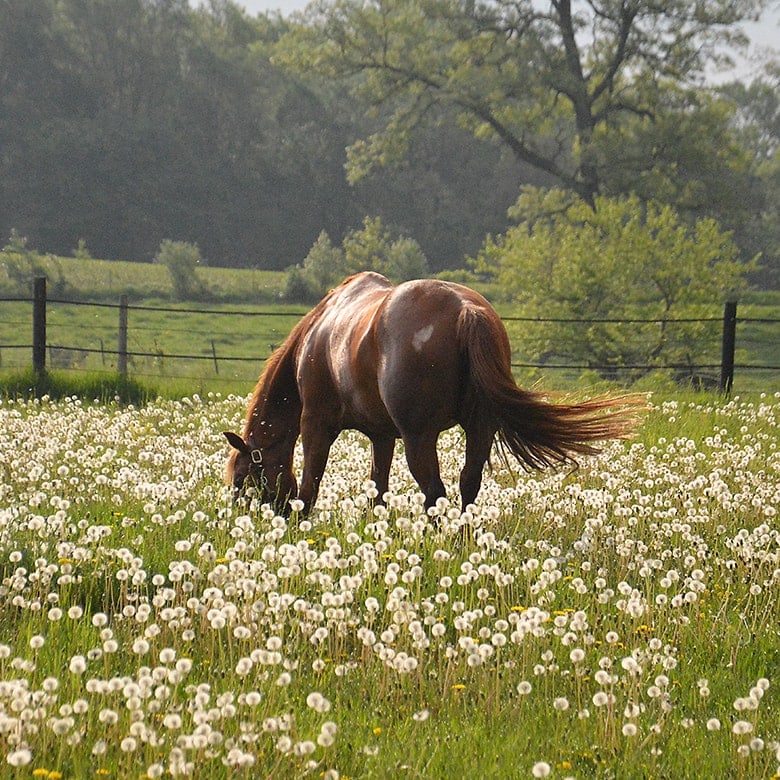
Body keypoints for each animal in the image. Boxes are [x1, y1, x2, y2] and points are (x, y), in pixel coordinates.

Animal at [222, 272, 644, 512]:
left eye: (241, 477)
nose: (242, 516)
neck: (320, 334)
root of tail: (465, 311)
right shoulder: (382, 436)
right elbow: (378, 489)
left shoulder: (316, 424)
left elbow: (311, 484)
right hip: (478, 429)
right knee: (467, 484)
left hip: (419, 437)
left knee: (435, 492)